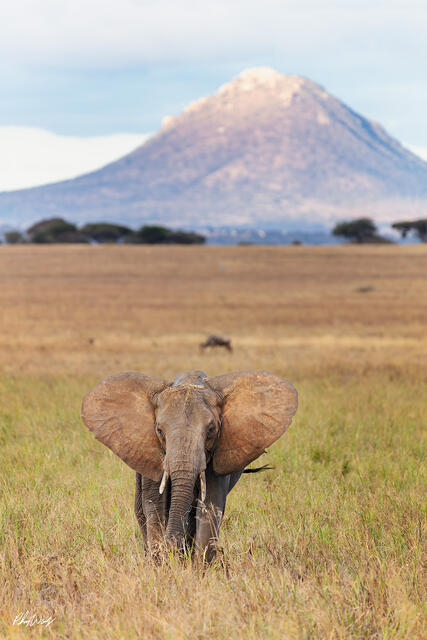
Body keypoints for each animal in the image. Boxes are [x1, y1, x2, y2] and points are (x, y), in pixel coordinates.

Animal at [81, 369, 298, 562]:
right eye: (159, 431)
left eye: (211, 430)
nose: (173, 547)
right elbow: (155, 505)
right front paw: (163, 565)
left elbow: (210, 508)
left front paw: (196, 570)